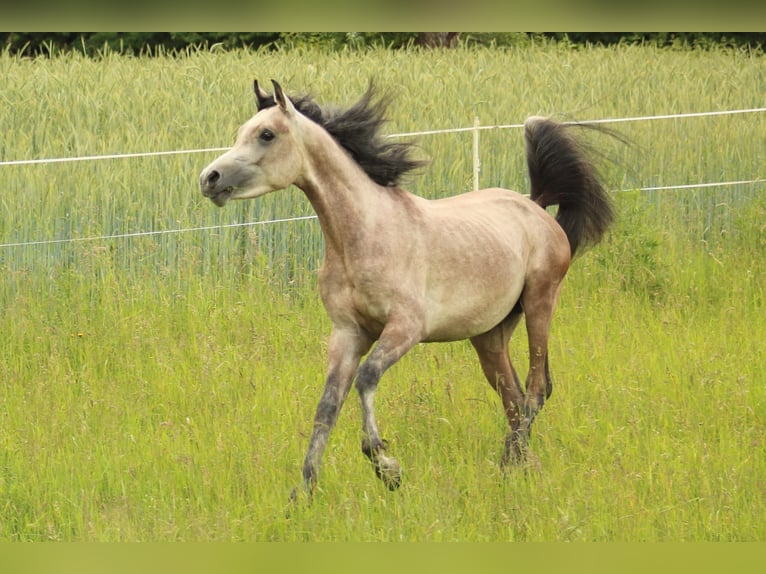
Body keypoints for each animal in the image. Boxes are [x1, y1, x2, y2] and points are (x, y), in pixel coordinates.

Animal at [200, 79, 616, 498]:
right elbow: (326, 408)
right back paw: (518, 471)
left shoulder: (405, 328)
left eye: (267, 134)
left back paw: (509, 469)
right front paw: (303, 494)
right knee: (512, 398)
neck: (364, 234)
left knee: (536, 389)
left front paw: (387, 467)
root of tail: (536, 207)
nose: (209, 179)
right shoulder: (347, 333)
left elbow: (366, 378)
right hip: (489, 335)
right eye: (242, 131)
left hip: (539, 303)